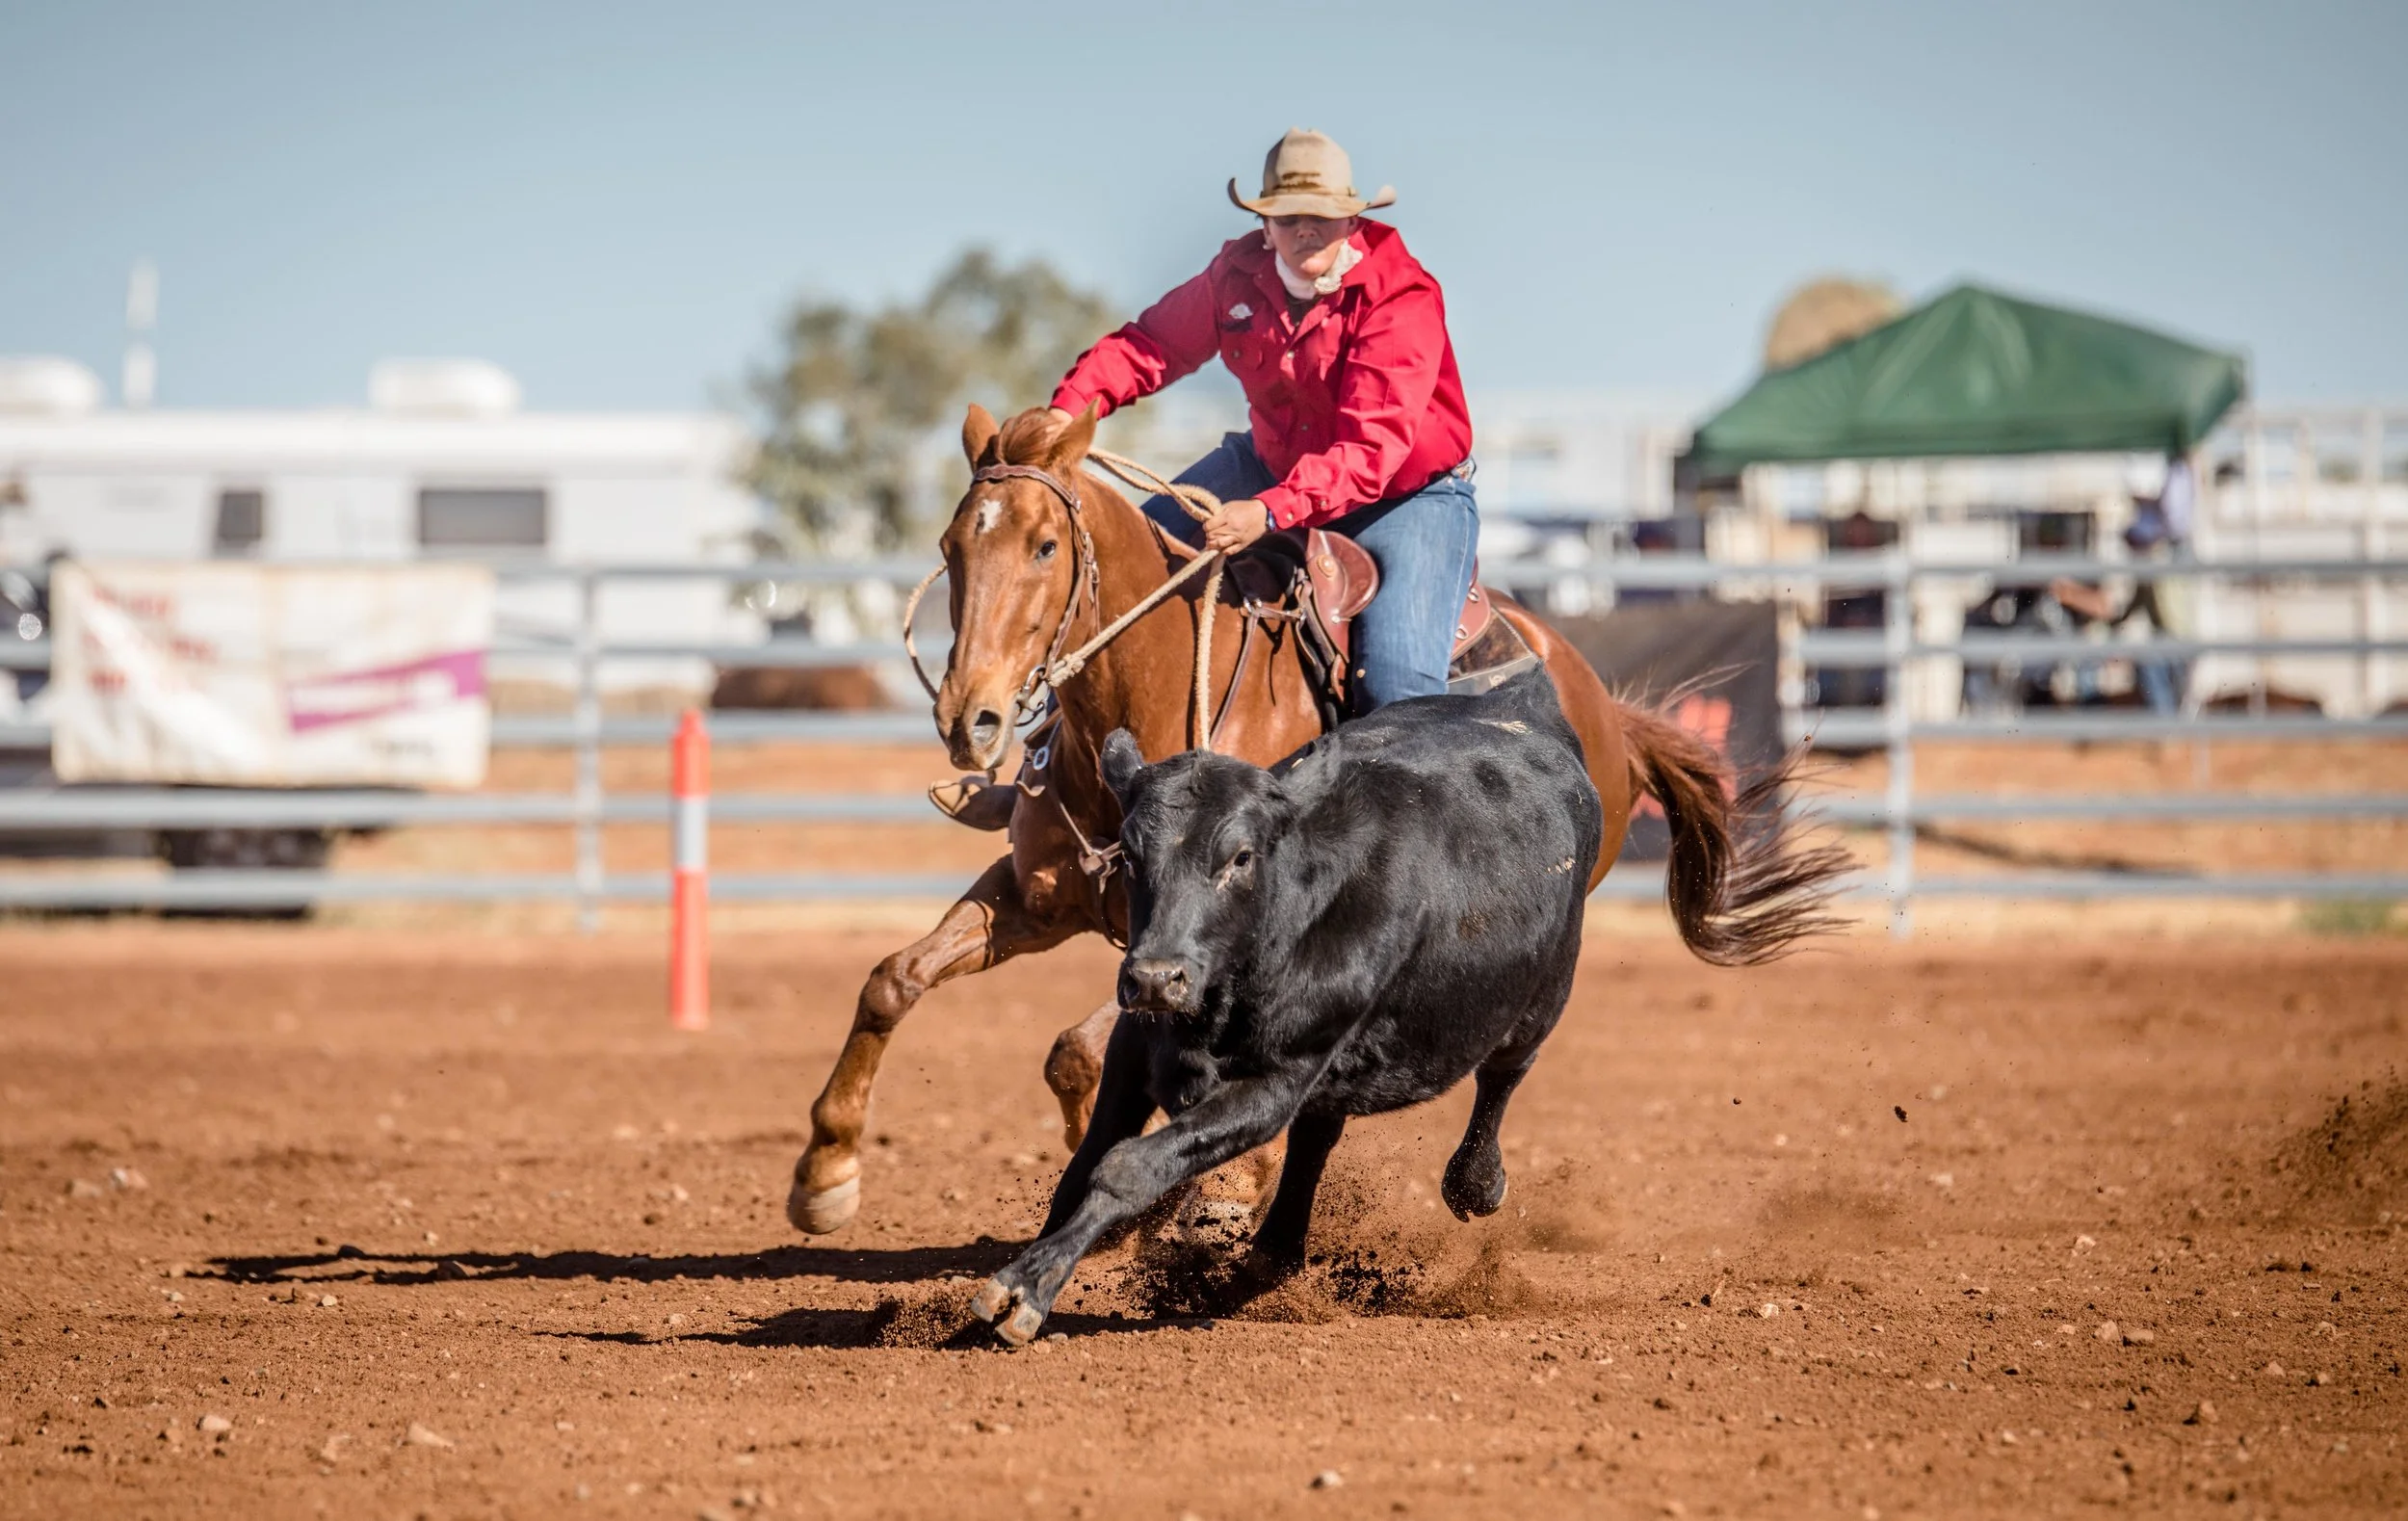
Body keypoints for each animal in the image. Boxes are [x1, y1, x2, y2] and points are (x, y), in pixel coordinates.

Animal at [785, 403, 1846, 1236]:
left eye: (1045, 546)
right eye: (952, 548)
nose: (970, 720)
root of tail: (1600, 707)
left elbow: (1083, 1048)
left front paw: (1187, 1197)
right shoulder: (1038, 897)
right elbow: (895, 981)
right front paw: (825, 1174)